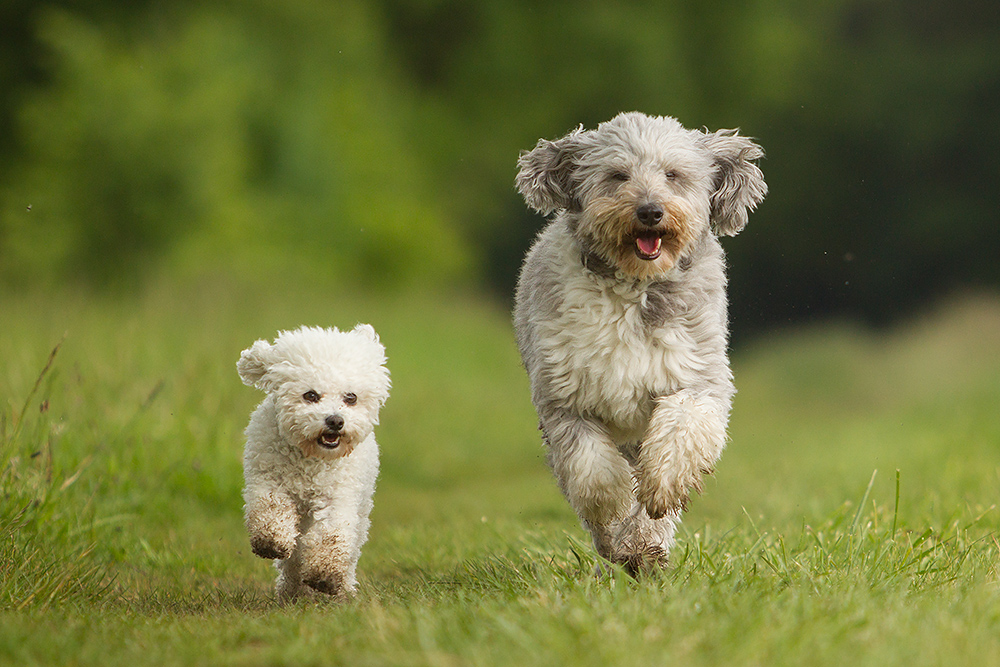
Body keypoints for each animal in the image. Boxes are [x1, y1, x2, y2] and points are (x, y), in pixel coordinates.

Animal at [236, 326, 388, 604]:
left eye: (351, 398)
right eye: (311, 395)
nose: (335, 421)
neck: (311, 459)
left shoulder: (339, 496)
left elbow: (332, 533)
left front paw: (325, 575)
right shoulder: (267, 476)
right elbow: (271, 506)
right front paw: (271, 540)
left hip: (361, 511)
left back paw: (341, 589)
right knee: (294, 558)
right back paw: (293, 590)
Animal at [516, 111, 764, 576]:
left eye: (673, 175)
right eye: (618, 175)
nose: (650, 210)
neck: (634, 283)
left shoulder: (697, 376)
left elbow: (681, 433)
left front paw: (661, 490)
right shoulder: (565, 397)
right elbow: (591, 470)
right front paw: (612, 506)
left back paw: (645, 548)